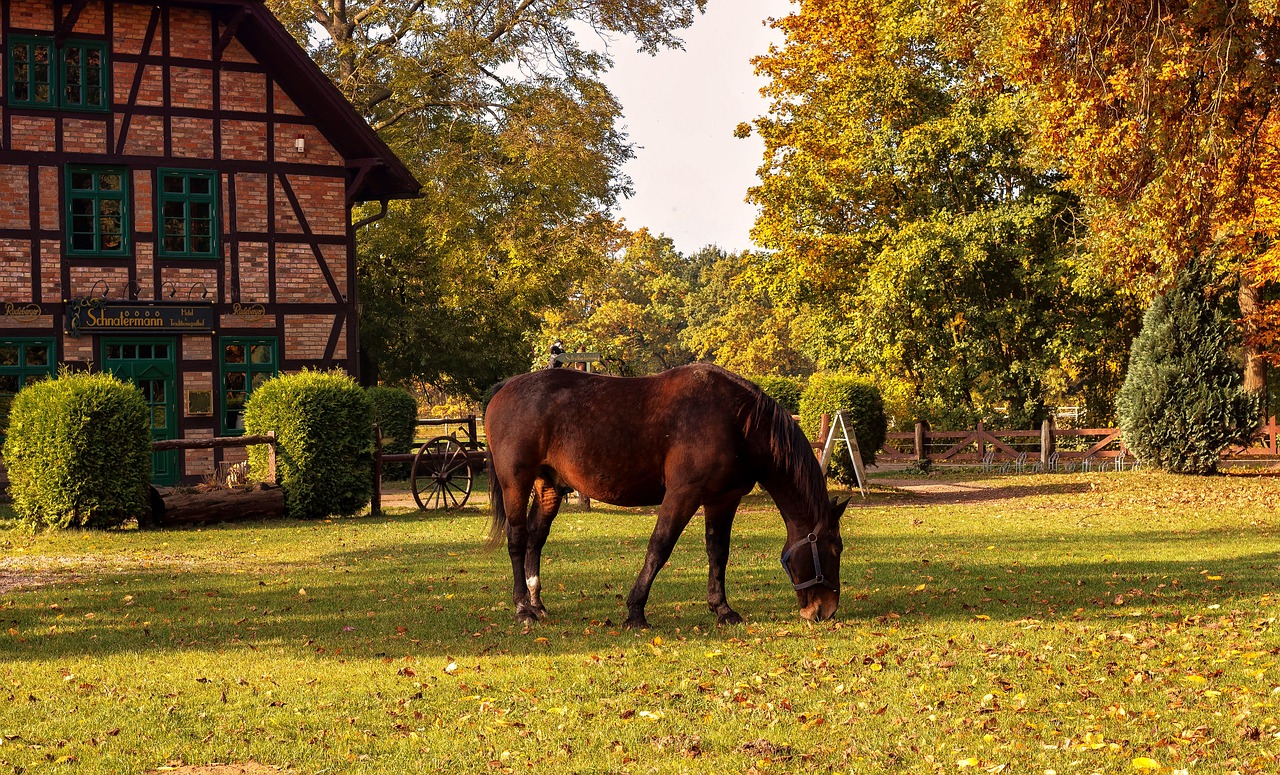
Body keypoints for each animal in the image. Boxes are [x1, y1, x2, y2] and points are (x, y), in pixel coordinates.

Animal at [483, 363, 844, 627]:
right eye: (835, 549)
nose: (825, 611)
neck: (736, 420)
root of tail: (506, 388)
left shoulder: (723, 499)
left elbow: (718, 552)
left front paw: (722, 609)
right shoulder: (683, 494)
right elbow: (659, 547)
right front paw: (635, 611)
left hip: (548, 486)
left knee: (535, 538)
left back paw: (537, 604)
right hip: (516, 483)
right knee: (517, 539)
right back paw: (522, 608)